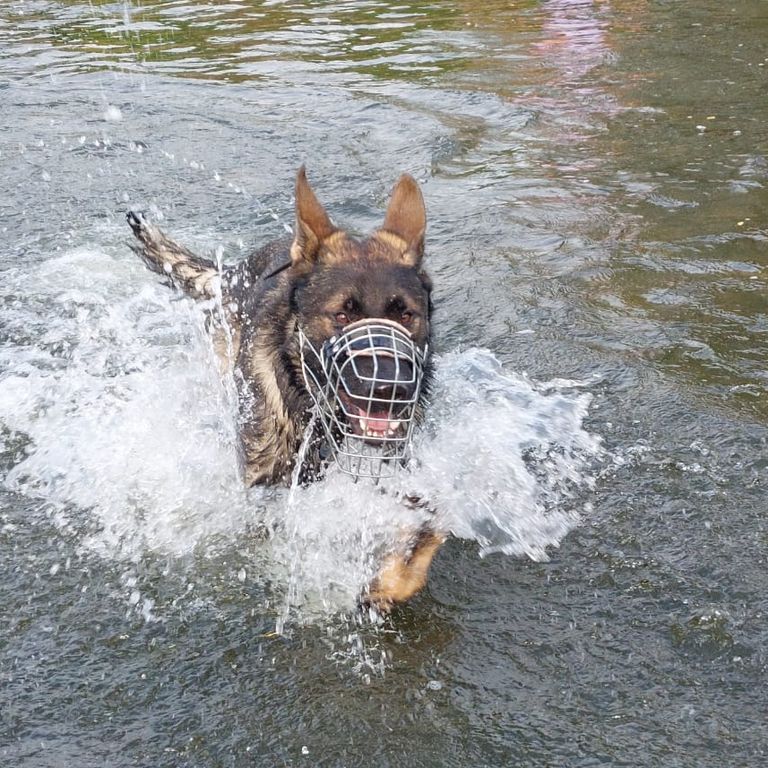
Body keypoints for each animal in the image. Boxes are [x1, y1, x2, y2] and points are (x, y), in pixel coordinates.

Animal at [127, 170, 444, 612]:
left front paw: (385, 583)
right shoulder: (264, 495)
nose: (389, 388)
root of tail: (236, 270)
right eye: (341, 314)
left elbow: (421, 536)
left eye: (406, 314)